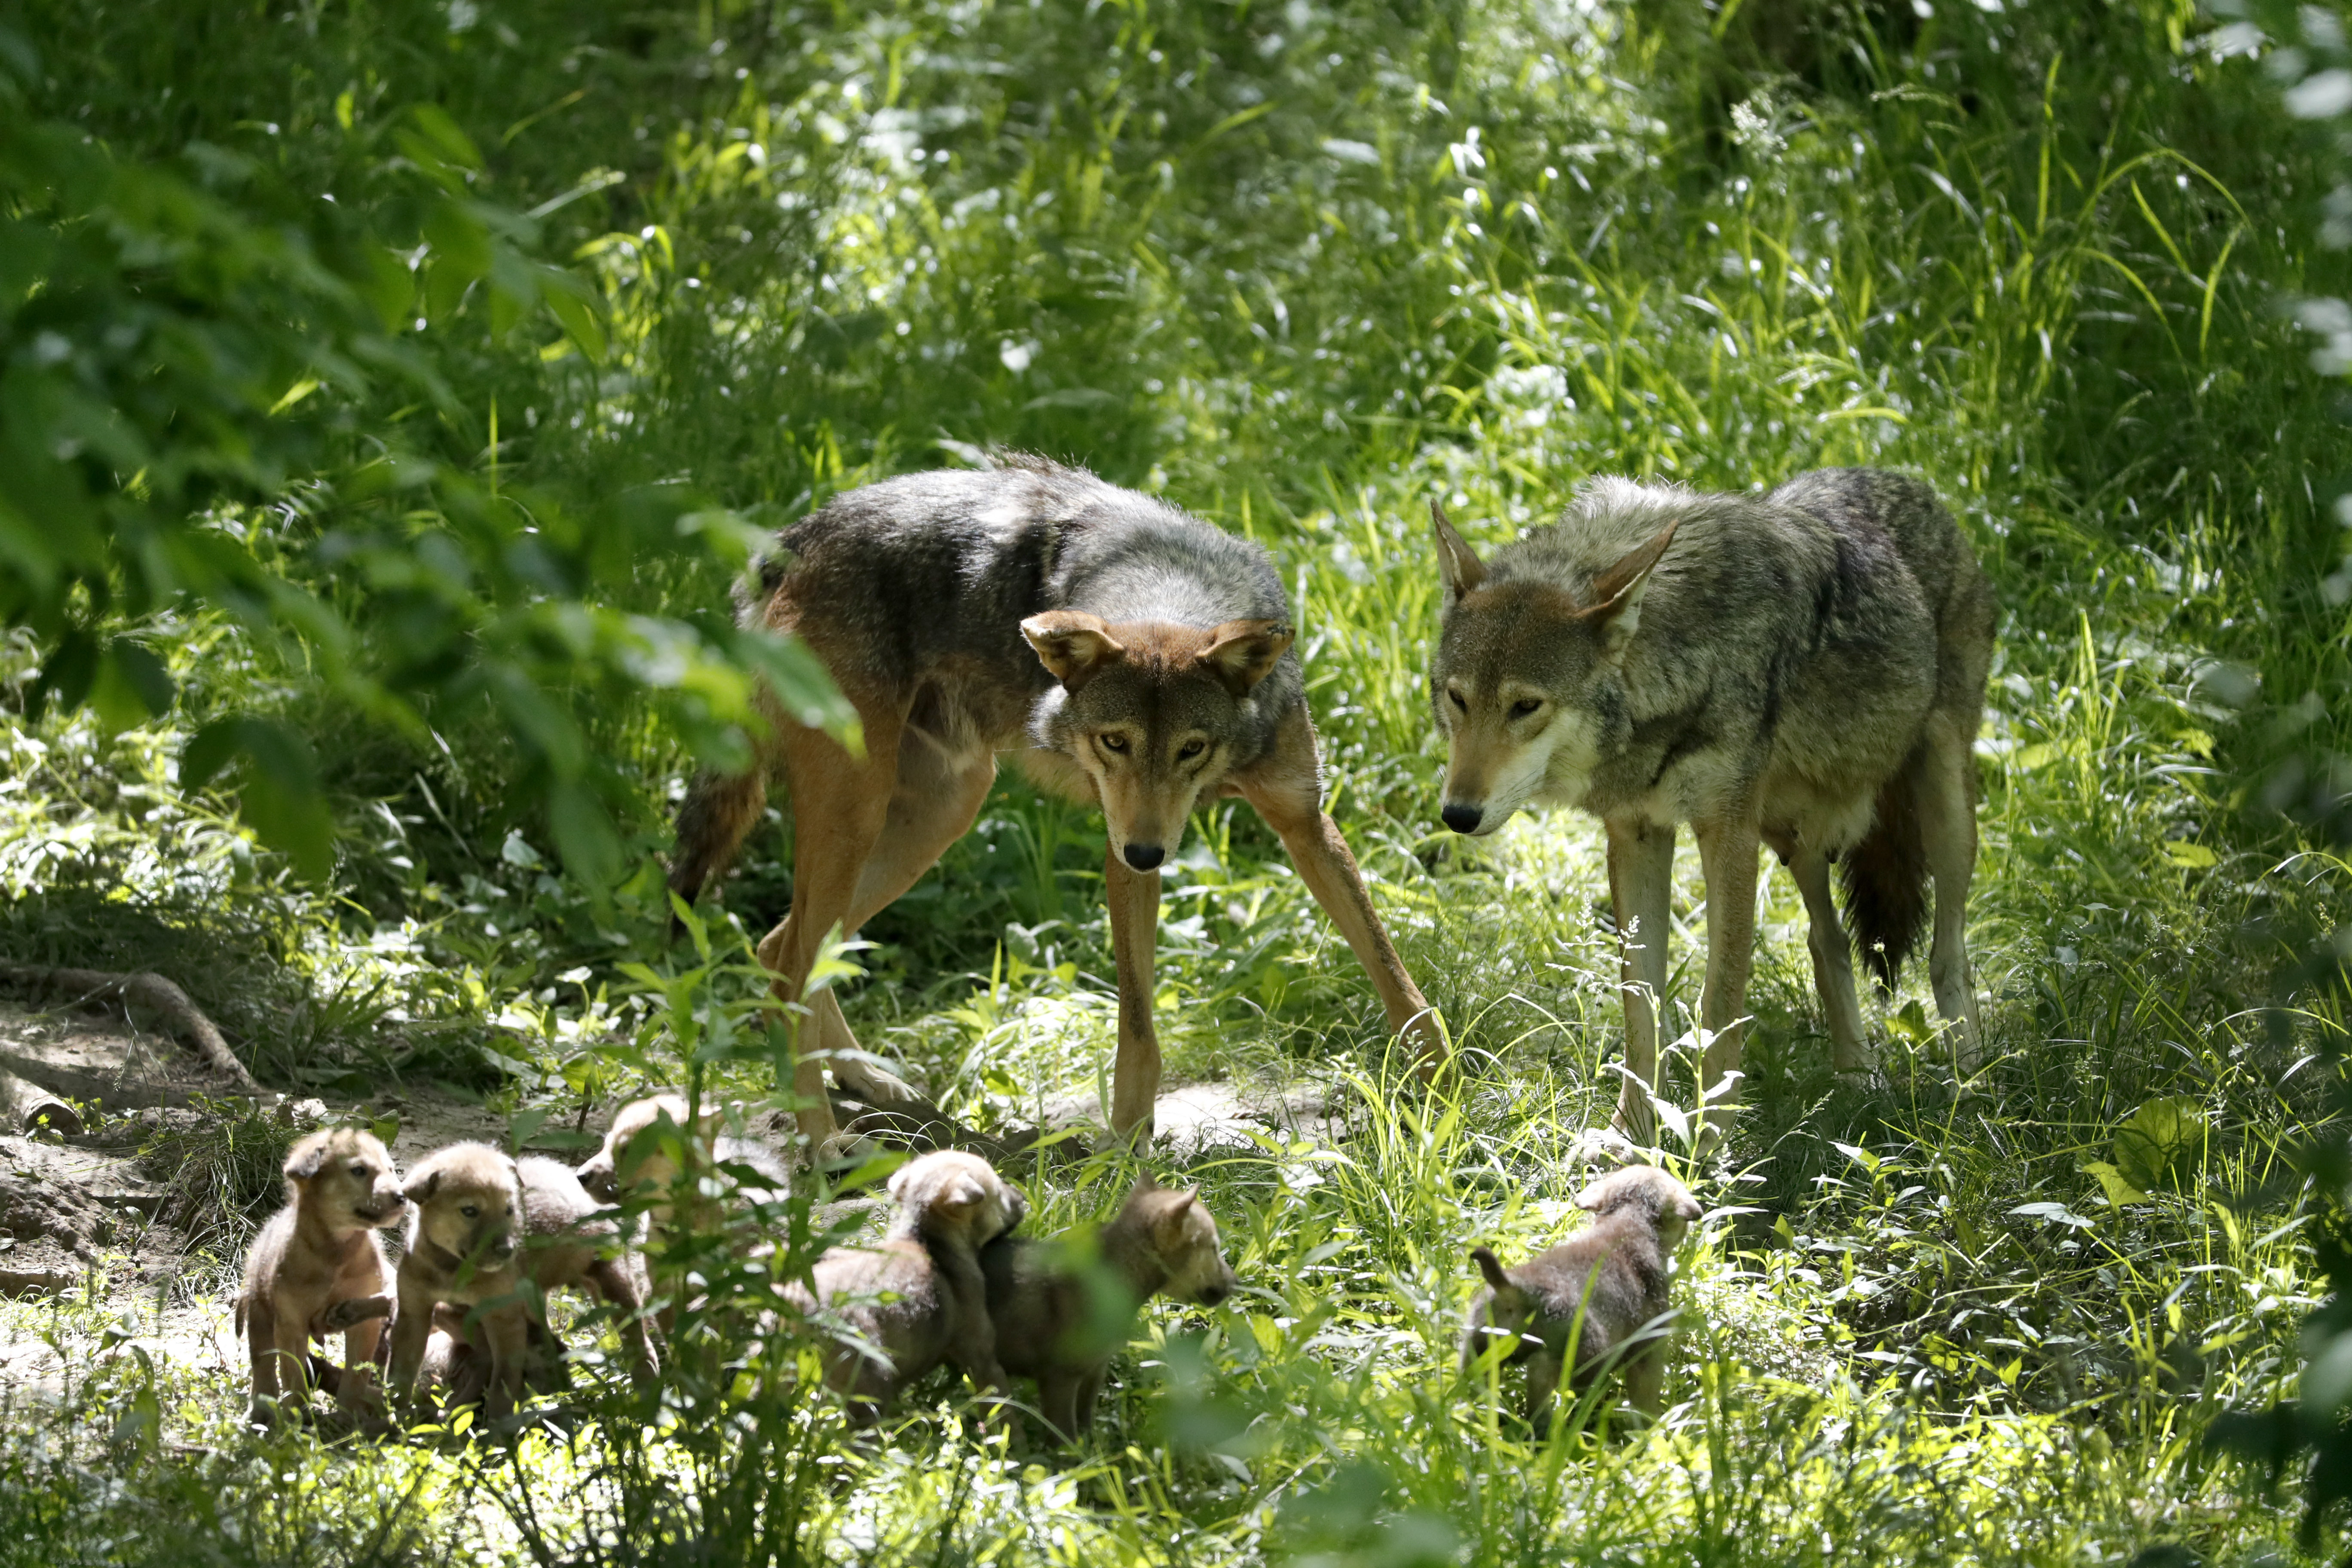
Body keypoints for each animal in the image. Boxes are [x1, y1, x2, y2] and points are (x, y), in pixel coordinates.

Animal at [669, 456, 1443, 1155]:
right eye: (1114, 742)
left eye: (1191, 748)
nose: (1148, 851)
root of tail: (793, 537)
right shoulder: (1120, 847)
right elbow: (1138, 1022)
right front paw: (1126, 1148)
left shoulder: (1301, 821)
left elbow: (1396, 976)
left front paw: (1442, 1081)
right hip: (861, 817)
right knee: (789, 965)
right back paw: (821, 1138)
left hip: (939, 816)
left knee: (778, 946)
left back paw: (872, 1083)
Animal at [1429, 468, 1993, 1139]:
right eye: (1459, 699)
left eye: (1525, 706)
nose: (1458, 815)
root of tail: (1912, 484)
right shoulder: (1637, 835)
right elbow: (1641, 1002)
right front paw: (1633, 1134)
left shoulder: (1727, 833)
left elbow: (1718, 1000)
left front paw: (1711, 1138)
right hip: (1793, 837)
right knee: (1826, 943)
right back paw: (1860, 1077)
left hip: (1944, 817)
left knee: (1947, 952)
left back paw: (1971, 1081)